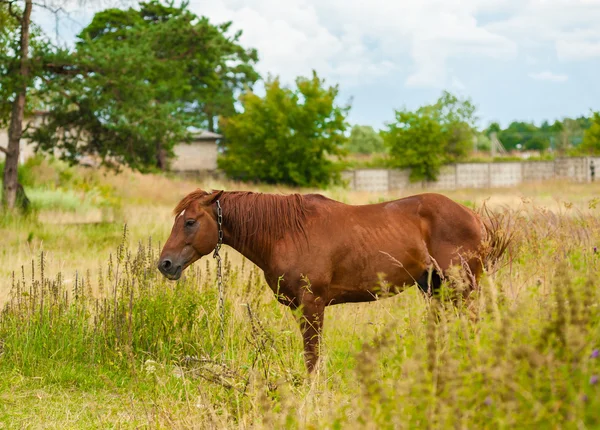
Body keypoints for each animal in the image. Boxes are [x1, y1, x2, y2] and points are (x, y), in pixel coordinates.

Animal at [157, 188, 504, 372]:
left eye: (190, 222)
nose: (165, 264)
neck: (286, 232)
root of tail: (474, 217)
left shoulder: (313, 305)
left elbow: (312, 355)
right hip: (437, 289)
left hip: (461, 288)